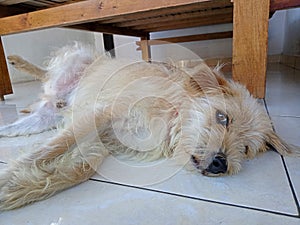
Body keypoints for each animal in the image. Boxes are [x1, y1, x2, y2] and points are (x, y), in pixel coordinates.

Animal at [0, 42, 300, 211]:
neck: (171, 116)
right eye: (222, 118)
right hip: (77, 59)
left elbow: (77, 171)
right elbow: (47, 151)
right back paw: (20, 63)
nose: (220, 163)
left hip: (45, 117)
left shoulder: (103, 142)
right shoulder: (100, 114)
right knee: (46, 74)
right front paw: (10, 177)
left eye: (246, 149)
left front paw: (18, 190)